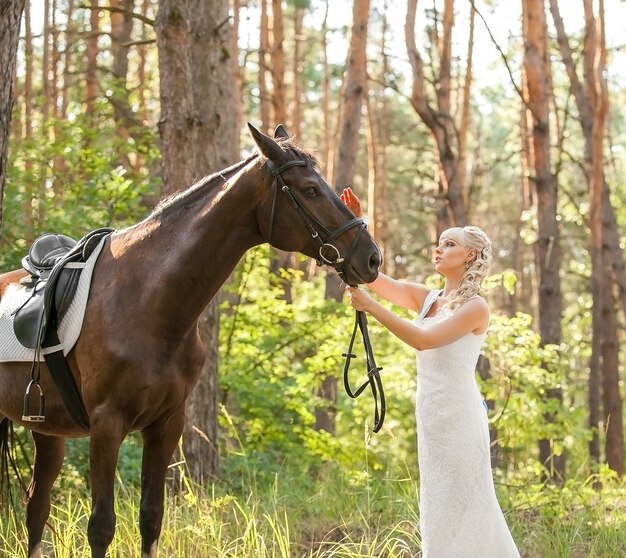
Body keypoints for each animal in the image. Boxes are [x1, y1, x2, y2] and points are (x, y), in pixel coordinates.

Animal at [0, 123, 380, 558]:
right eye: (311, 189)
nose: (372, 258)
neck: (147, 300)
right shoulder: (106, 425)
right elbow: (101, 525)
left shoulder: (168, 423)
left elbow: (151, 517)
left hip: (47, 432)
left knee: (36, 508)